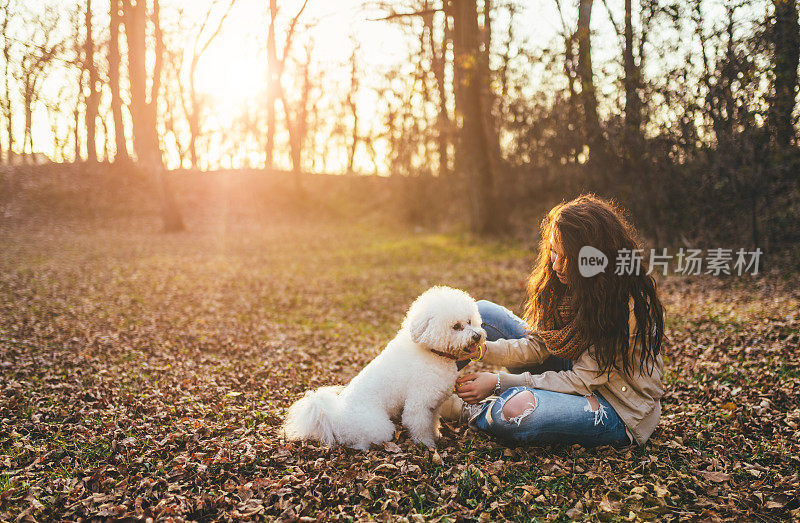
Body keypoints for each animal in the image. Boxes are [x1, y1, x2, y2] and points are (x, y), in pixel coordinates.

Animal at [284, 286, 484, 450]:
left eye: (469, 321)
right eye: (456, 326)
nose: (477, 336)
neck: (433, 352)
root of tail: (334, 419)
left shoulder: (433, 403)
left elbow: (433, 421)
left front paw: (436, 435)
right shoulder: (418, 403)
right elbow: (419, 425)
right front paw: (427, 444)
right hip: (379, 427)